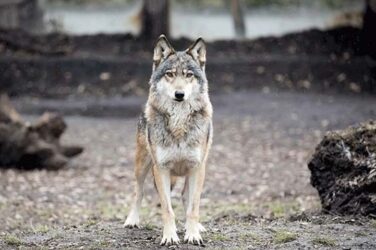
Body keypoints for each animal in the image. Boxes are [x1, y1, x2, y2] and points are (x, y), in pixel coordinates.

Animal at [123, 35, 212, 246]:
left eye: (189, 75)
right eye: (170, 74)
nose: (179, 94)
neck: (179, 123)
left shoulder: (197, 167)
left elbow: (193, 207)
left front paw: (193, 234)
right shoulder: (161, 168)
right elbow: (167, 209)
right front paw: (170, 236)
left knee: (185, 197)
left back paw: (196, 227)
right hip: (142, 166)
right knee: (138, 192)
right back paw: (132, 220)